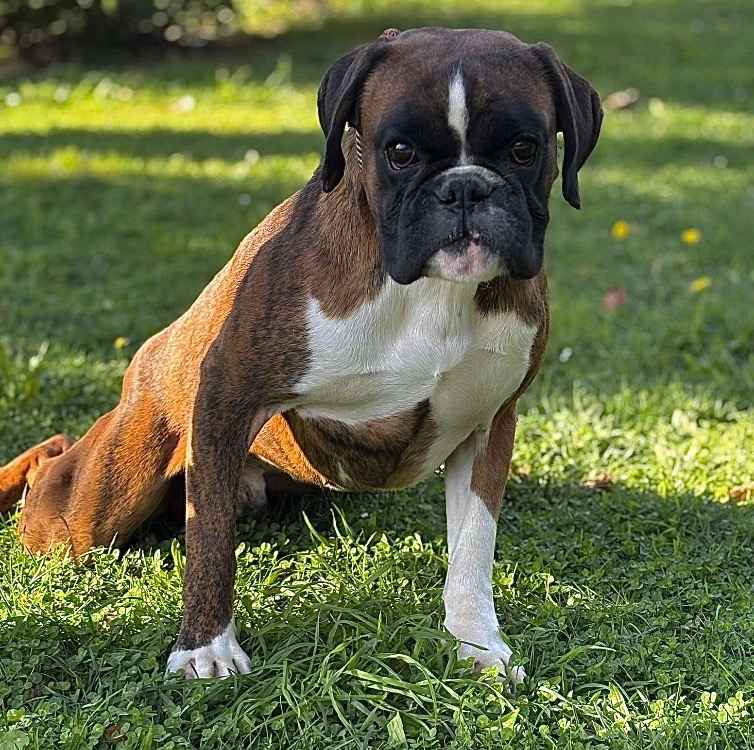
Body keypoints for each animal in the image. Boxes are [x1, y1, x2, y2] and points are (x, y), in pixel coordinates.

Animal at [0, 27, 602, 684]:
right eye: (399, 152)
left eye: (524, 150)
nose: (466, 186)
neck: (429, 293)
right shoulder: (228, 394)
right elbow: (209, 540)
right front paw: (206, 647)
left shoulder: (489, 425)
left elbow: (474, 545)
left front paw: (476, 645)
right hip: (90, 507)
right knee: (56, 467)